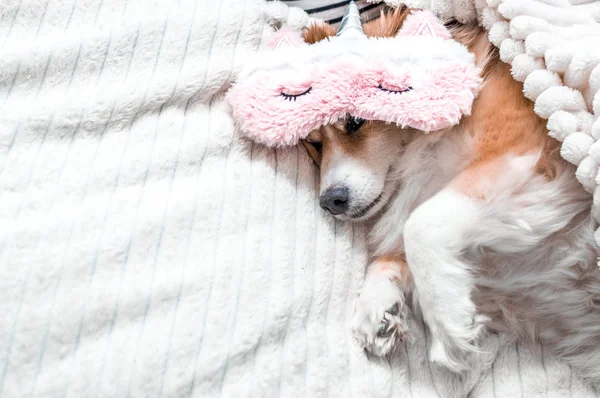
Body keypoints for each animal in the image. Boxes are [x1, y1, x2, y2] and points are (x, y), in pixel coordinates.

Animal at [302, 7, 600, 382]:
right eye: (313, 144)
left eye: (356, 120)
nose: (330, 201)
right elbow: (392, 256)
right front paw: (376, 308)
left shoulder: (528, 161)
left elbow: (420, 224)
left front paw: (448, 322)